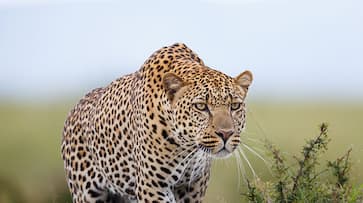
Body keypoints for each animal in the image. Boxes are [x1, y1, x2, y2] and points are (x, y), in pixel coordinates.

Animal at [61, 42, 255, 202]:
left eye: (235, 106)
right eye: (201, 106)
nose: (226, 134)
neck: (187, 147)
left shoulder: (194, 186)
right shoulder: (152, 186)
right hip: (86, 191)